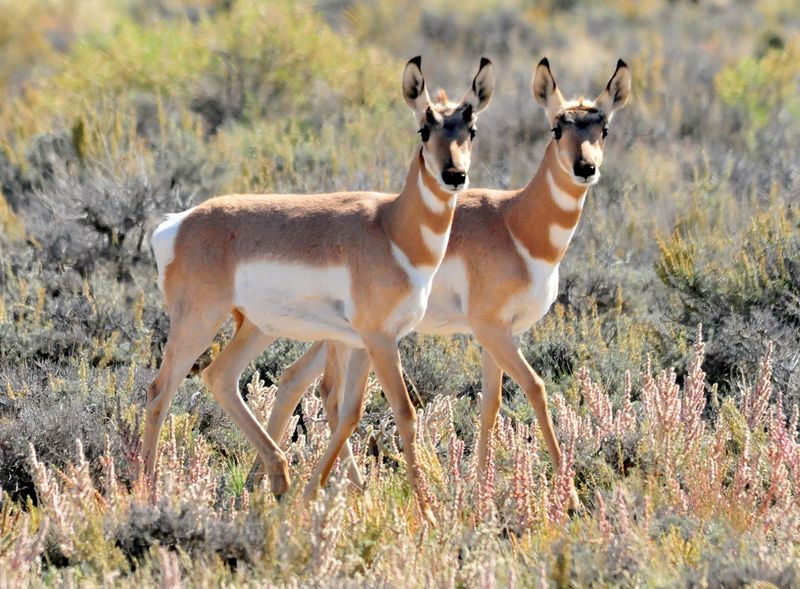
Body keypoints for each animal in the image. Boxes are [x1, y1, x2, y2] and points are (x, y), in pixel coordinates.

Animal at [146, 57, 490, 520]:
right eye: (424, 127)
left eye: (471, 129)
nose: (455, 175)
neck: (391, 227)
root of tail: (178, 224)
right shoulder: (380, 340)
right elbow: (404, 413)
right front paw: (429, 512)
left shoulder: (363, 342)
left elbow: (350, 412)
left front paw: (326, 492)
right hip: (199, 322)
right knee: (160, 392)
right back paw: (145, 492)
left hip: (256, 328)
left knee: (220, 376)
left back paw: (278, 478)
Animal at [256, 59, 632, 510]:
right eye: (558, 127)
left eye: (604, 128)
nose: (585, 168)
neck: (514, 223)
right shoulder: (491, 328)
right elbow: (536, 388)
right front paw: (569, 496)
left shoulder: (498, 334)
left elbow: (490, 403)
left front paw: (480, 489)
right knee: (324, 389)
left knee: (297, 379)